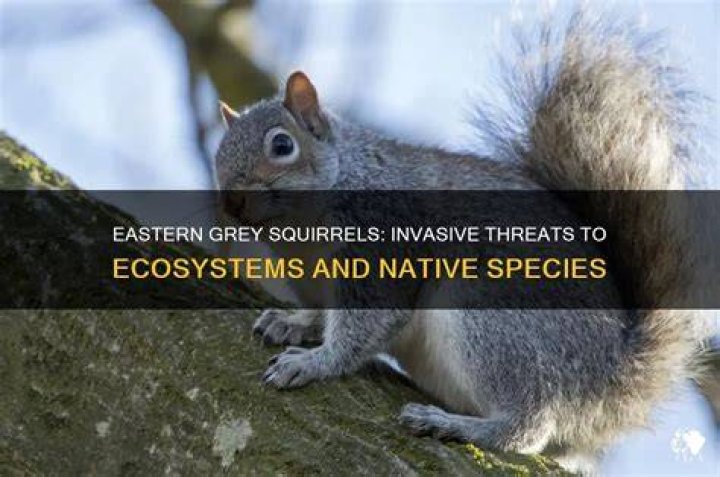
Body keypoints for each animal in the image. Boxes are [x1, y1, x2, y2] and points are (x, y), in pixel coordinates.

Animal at [214, 9, 704, 474]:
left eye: (282, 146)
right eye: (218, 155)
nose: (232, 201)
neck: (300, 232)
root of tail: (609, 378)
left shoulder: (384, 241)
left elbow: (367, 324)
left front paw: (314, 362)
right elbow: (323, 313)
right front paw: (293, 322)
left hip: (491, 311)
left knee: (529, 425)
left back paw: (454, 425)